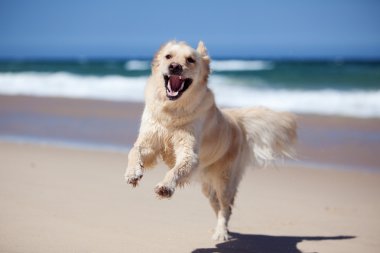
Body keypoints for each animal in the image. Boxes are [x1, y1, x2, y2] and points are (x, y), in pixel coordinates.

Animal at [124, 41, 296, 241]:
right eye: (168, 56)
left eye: (190, 60)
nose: (174, 67)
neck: (172, 110)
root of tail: (236, 120)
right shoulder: (150, 142)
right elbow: (134, 151)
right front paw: (132, 173)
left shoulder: (188, 152)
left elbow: (175, 170)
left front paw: (166, 186)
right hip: (208, 186)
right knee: (217, 206)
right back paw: (219, 230)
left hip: (225, 180)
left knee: (226, 207)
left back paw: (221, 232)